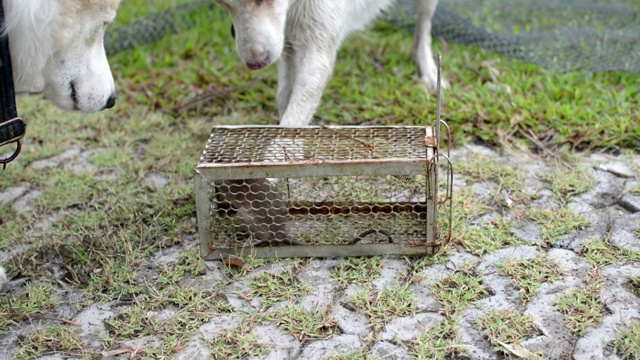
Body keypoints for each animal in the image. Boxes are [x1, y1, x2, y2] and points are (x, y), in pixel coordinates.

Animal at [218, 0, 448, 126]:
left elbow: (293, 118)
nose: (256, 63)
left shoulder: (317, 56)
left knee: (424, 26)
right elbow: (285, 99)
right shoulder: (287, 44)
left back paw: (429, 71)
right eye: (223, 3)